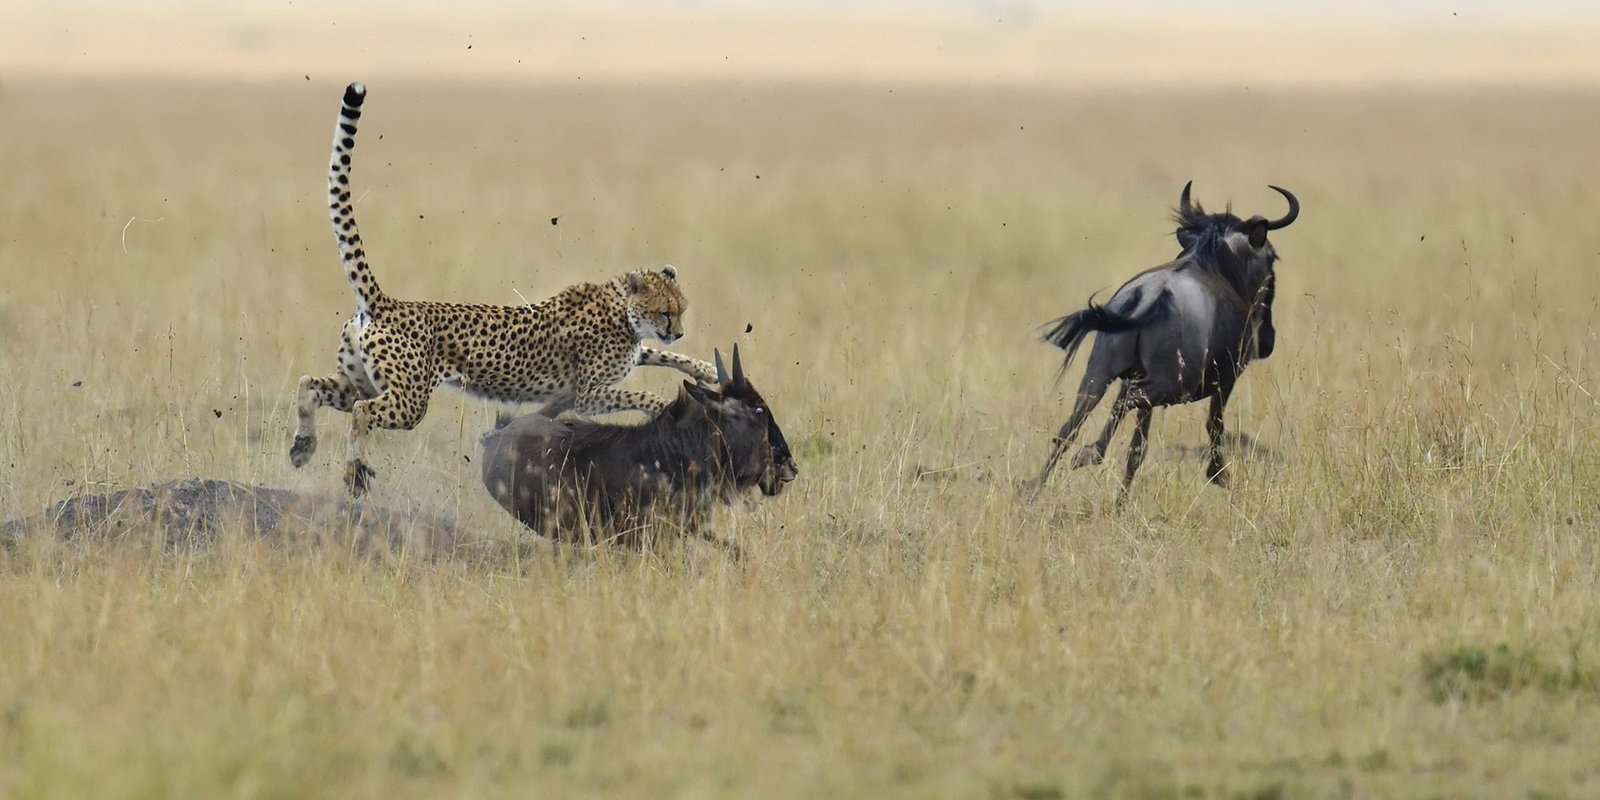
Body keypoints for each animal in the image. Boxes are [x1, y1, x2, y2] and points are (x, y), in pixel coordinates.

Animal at [291, 82, 716, 496]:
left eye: (682, 310)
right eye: (665, 311)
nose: (678, 331)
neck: (620, 309)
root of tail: (386, 303)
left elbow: (656, 353)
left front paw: (705, 369)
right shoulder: (589, 394)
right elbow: (639, 393)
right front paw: (664, 405)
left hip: (359, 379)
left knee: (311, 384)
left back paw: (302, 446)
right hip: (409, 400)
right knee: (362, 410)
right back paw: (355, 470)